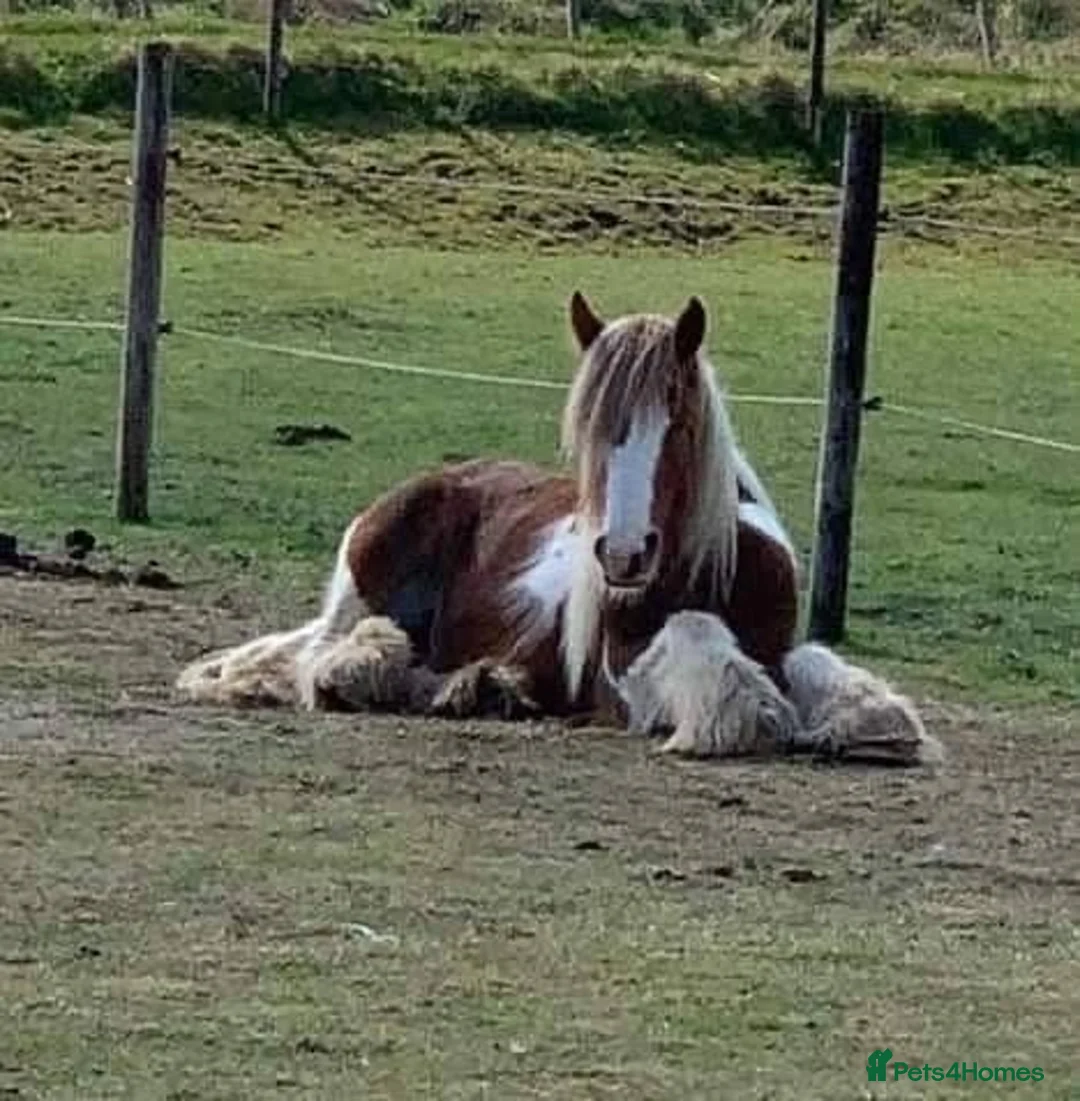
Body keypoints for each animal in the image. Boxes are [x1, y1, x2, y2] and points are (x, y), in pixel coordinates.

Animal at [177, 292, 941, 767]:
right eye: (591, 432)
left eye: (678, 422)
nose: (625, 555)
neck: (717, 565)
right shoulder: (626, 680)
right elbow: (724, 676)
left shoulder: (781, 645)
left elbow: (823, 674)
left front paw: (861, 726)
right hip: (361, 597)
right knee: (329, 659)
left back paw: (481, 687)